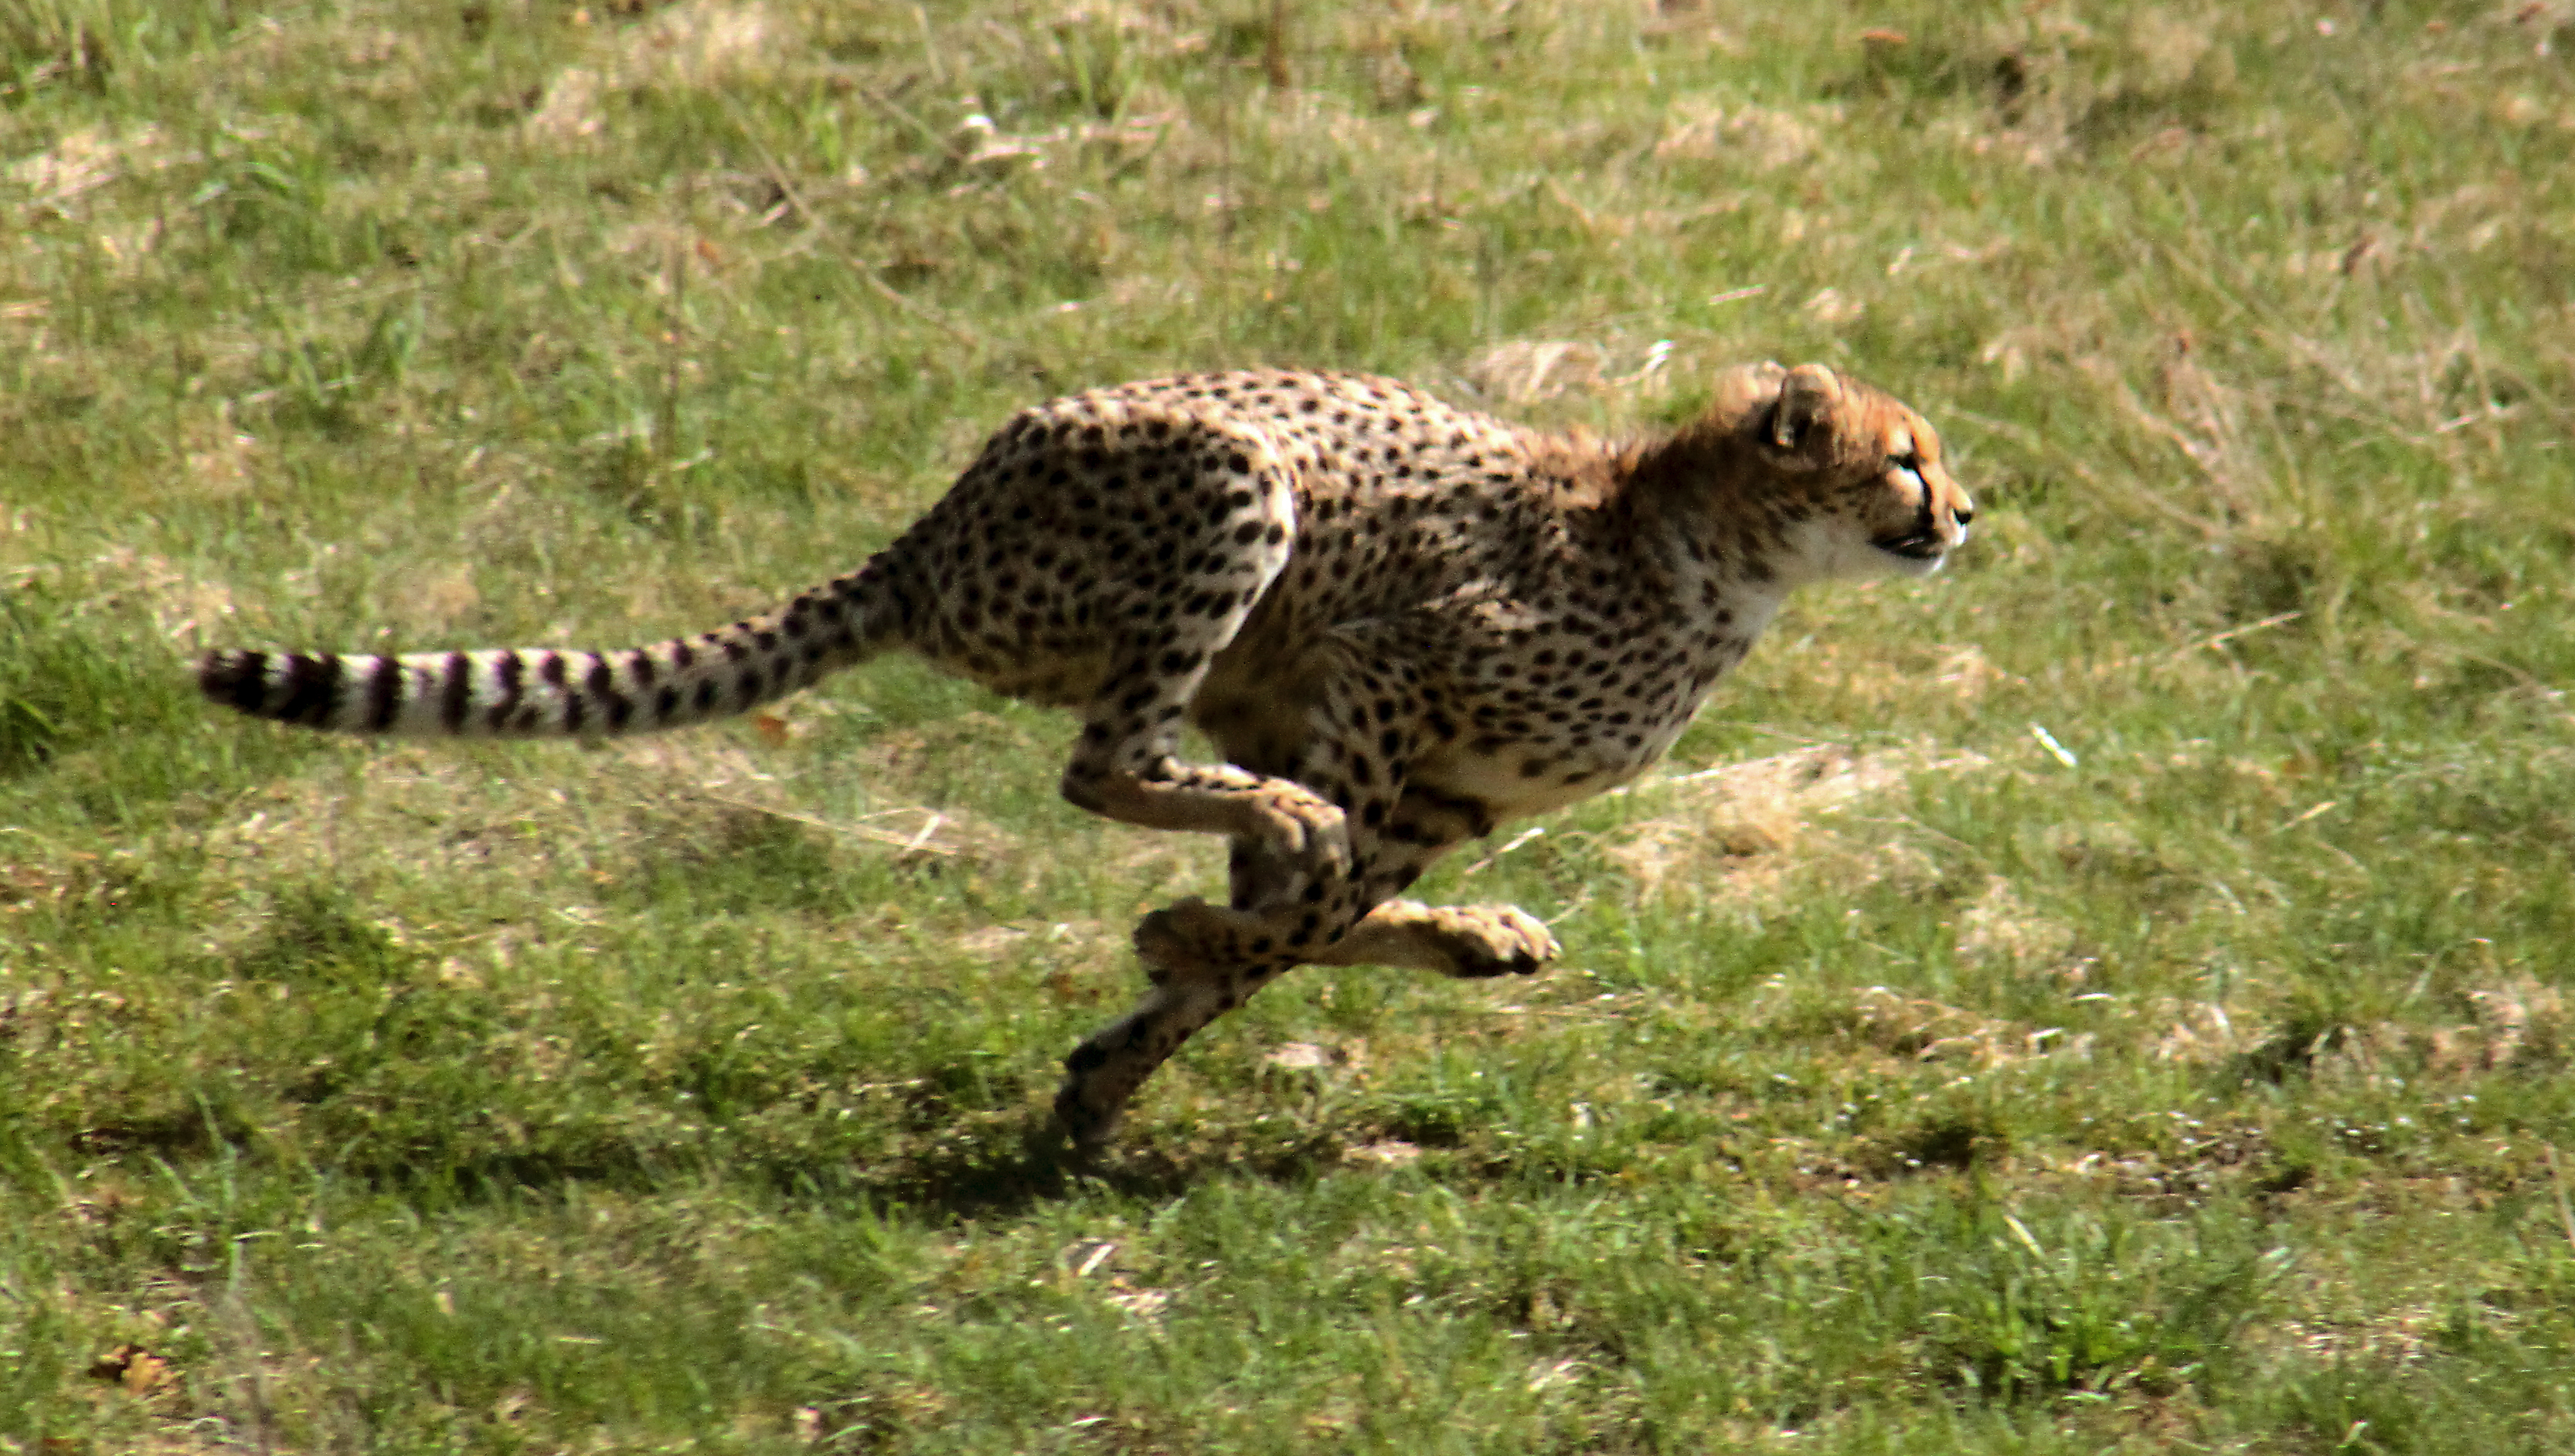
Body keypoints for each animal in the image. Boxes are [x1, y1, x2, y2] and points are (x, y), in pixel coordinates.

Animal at [197, 359, 1972, 1149]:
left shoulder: (1423, 775)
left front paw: (1126, 1047)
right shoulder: (1378, 672)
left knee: (1193, 790)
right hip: (1231, 487)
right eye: (1902, 460)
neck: (1708, 556)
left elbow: (1302, 922)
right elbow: (1295, 900)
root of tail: (930, 533)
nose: (1967, 510)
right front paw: (1168, 950)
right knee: (1107, 761)